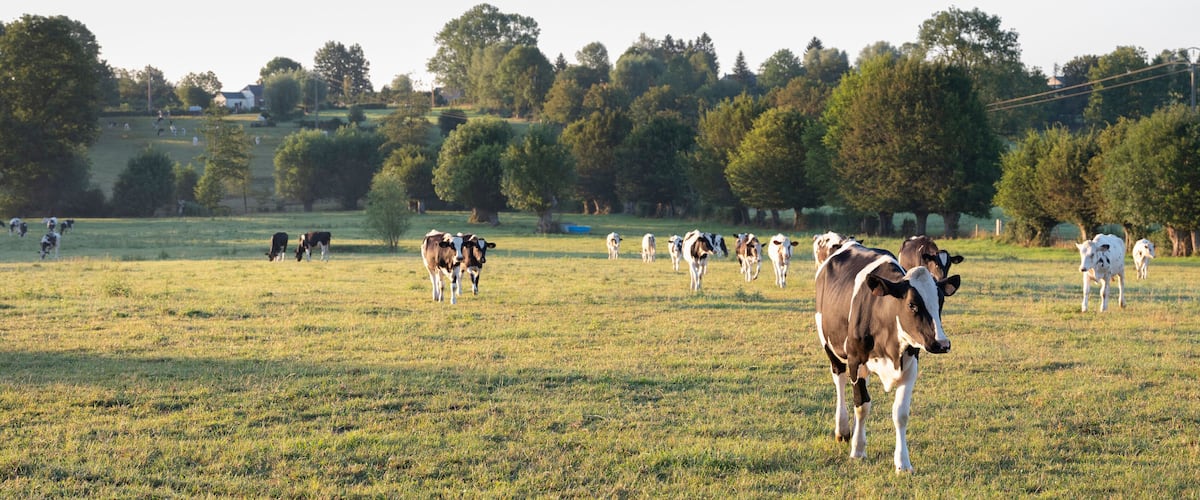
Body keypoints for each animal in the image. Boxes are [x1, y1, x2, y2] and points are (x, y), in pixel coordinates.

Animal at [814, 242, 960, 473]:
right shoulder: (856, 361)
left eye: (940, 302)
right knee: (840, 380)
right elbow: (862, 406)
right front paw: (858, 450)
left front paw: (903, 463)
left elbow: (900, 413)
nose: (942, 343)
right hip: (829, 345)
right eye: (912, 305)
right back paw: (843, 429)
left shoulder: (910, 365)